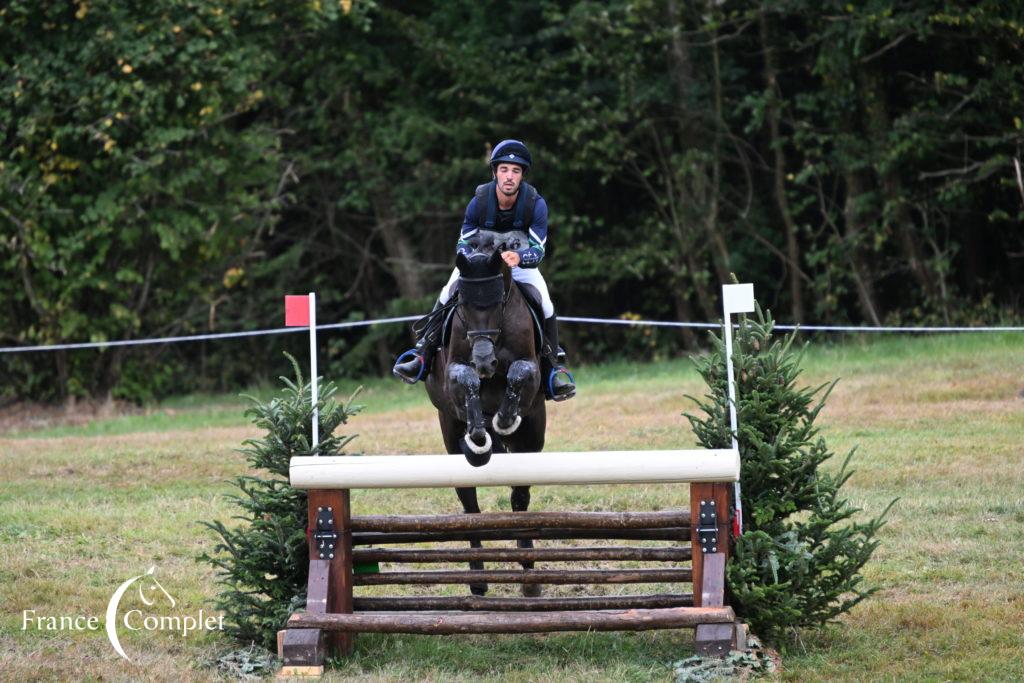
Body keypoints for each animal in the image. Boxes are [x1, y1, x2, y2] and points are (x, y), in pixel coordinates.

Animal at [423, 248, 548, 593]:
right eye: (463, 306)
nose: (484, 362)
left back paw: (529, 578)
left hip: (533, 437)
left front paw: (504, 420)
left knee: (520, 499)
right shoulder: (453, 375)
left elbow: (520, 372)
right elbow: (466, 381)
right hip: (449, 432)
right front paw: (478, 435)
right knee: (470, 506)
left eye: (498, 304)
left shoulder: (531, 371)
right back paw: (478, 579)